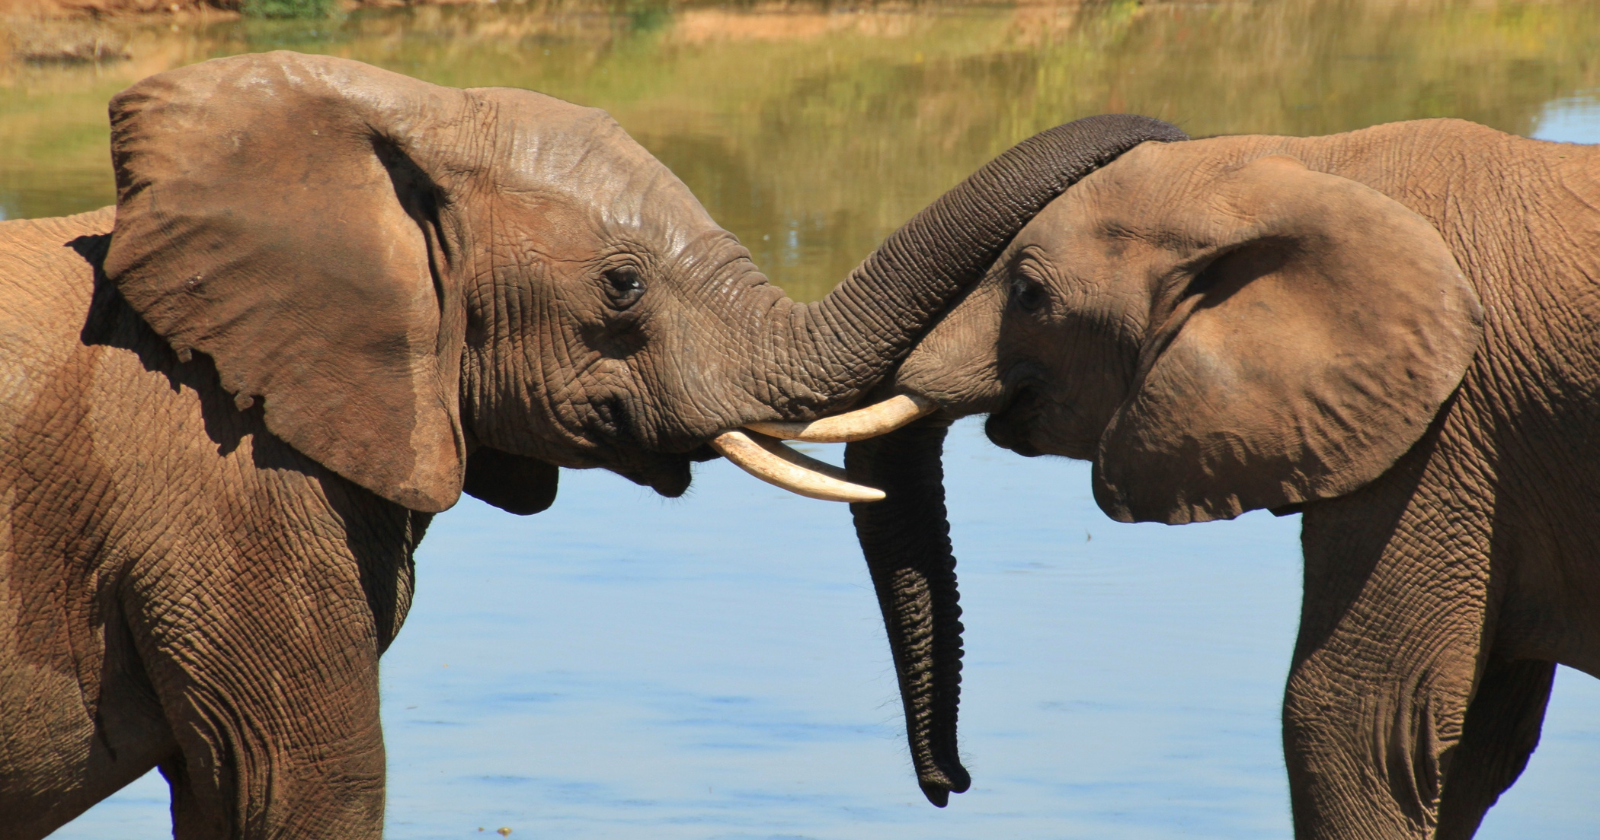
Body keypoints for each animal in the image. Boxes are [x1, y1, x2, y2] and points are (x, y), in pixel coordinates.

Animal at [756, 118, 1600, 837]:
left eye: (1028, 295)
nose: (952, 785)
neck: (1308, 166)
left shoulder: (1445, 435)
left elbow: (1353, 720)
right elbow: (1473, 745)